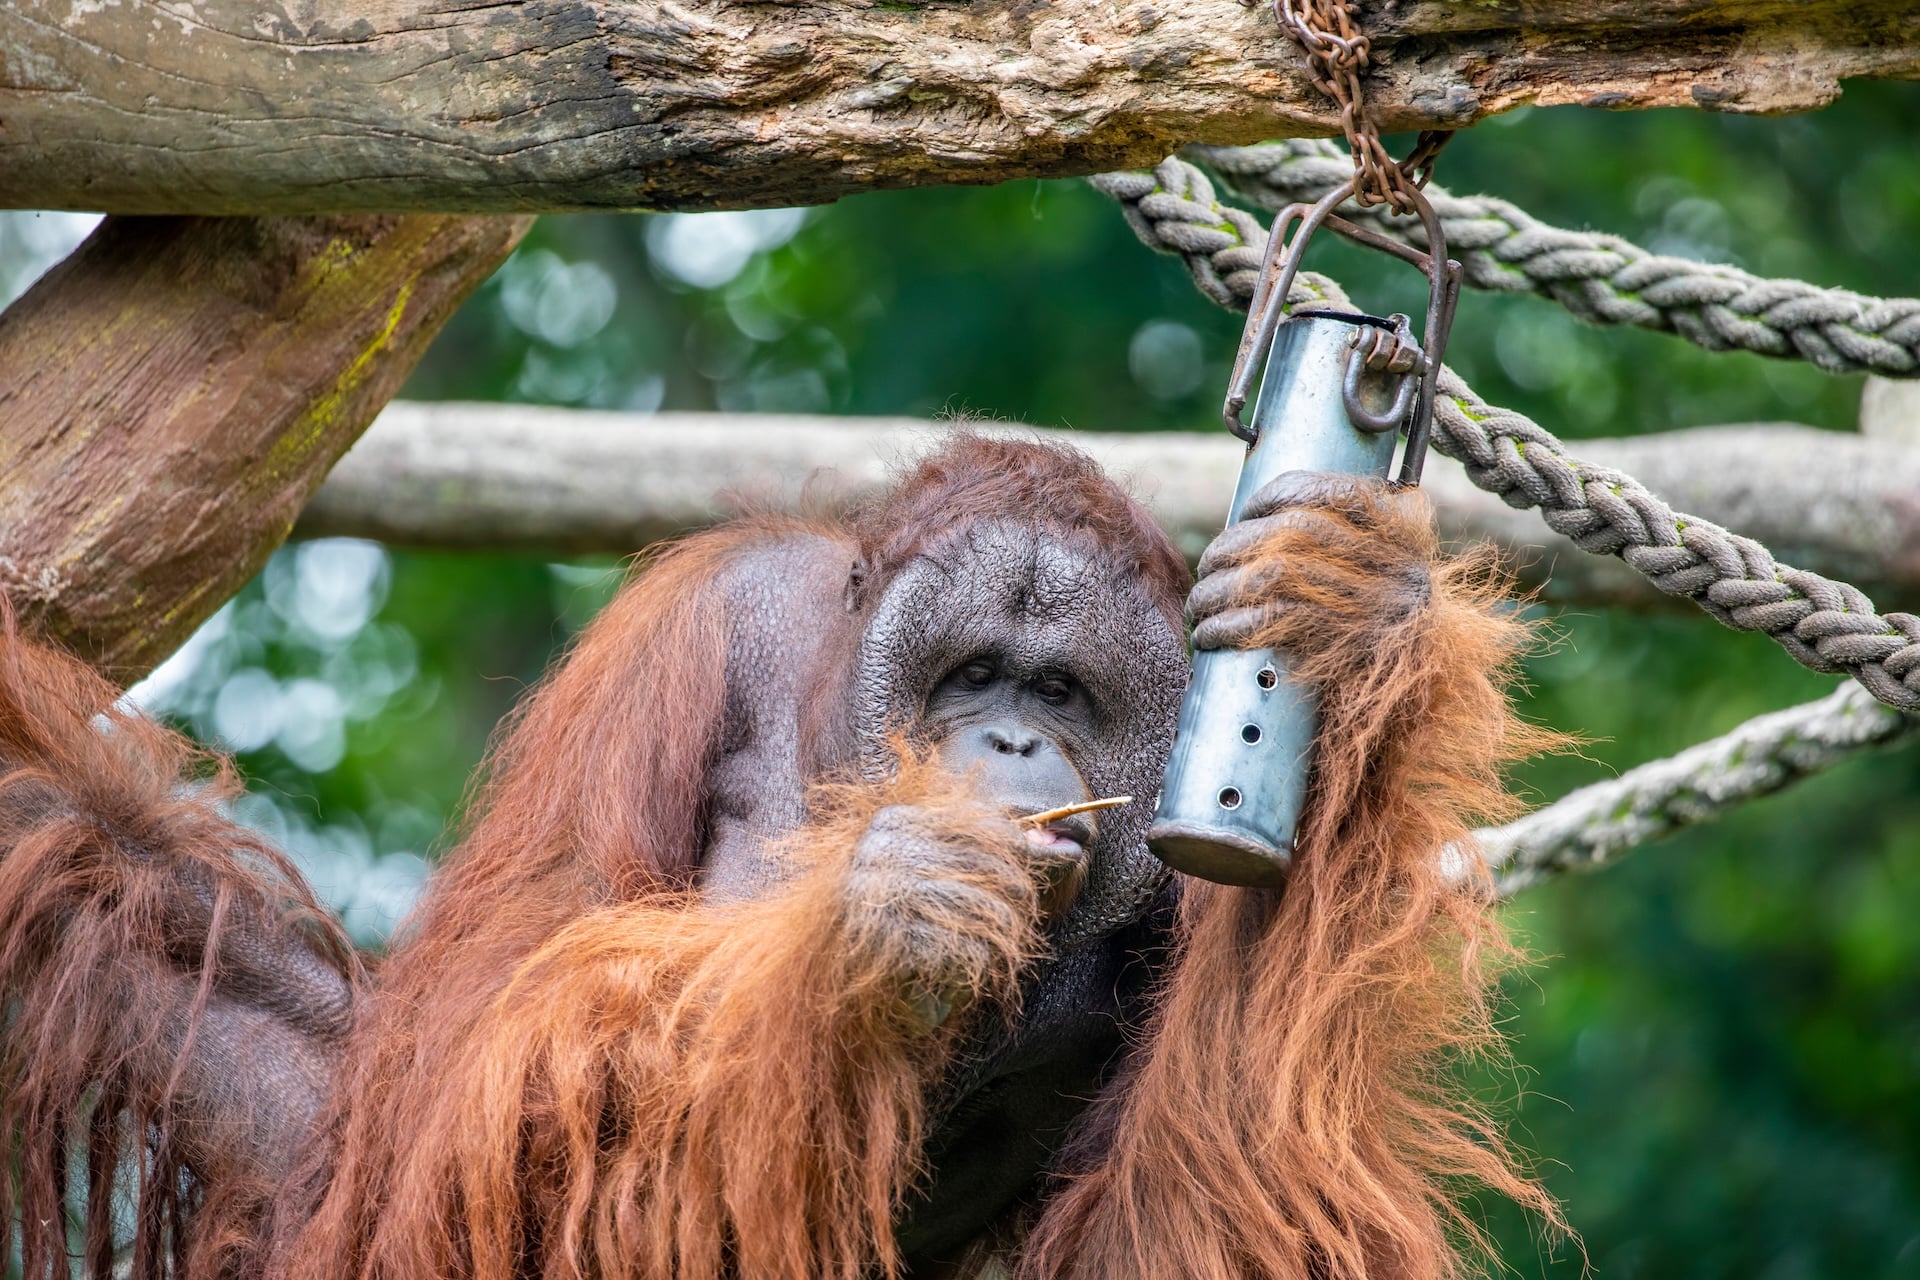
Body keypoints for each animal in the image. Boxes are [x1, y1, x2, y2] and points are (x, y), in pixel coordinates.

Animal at [0, 434, 1558, 1280]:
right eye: (975, 675)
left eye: (1060, 693)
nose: (1008, 744)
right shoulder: (696, 626)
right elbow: (482, 1039)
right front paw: (882, 914)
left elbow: (1212, 1206)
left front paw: (1352, 608)